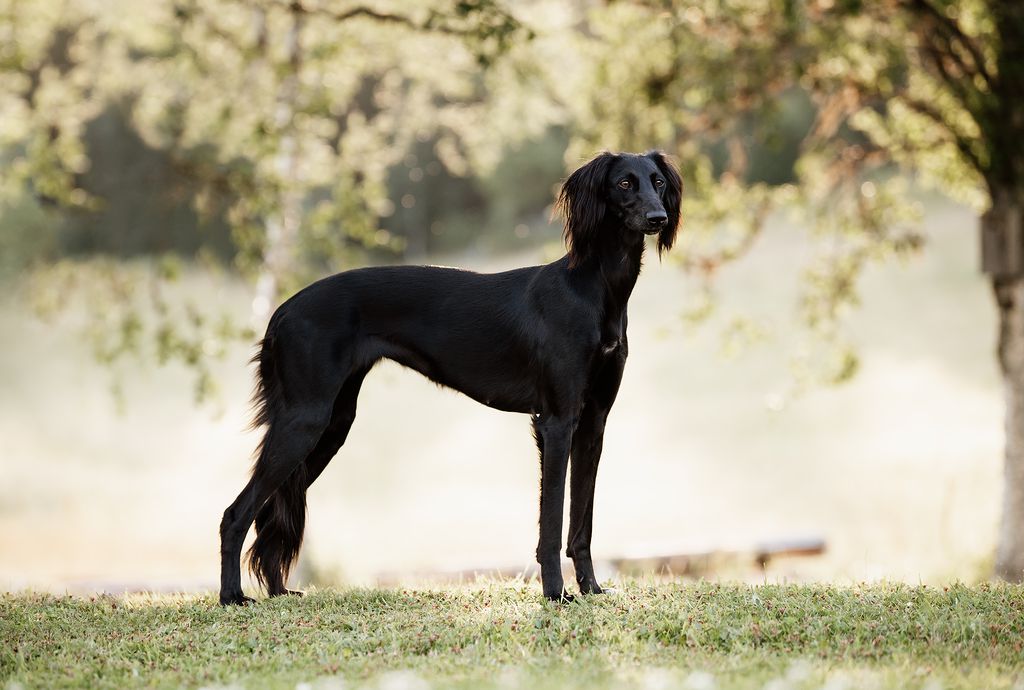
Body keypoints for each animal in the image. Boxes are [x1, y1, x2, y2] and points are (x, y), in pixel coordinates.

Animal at [218, 150, 679, 601]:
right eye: (624, 183)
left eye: (657, 181)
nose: (658, 218)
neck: (593, 289)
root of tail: (282, 311)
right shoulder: (557, 421)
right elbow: (551, 521)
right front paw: (555, 594)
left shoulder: (594, 421)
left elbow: (582, 521)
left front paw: (591, 589)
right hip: (305, 420)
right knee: (236, 513)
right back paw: (232, 597)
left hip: (331, 425)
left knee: (271, 511)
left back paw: (279, 592)